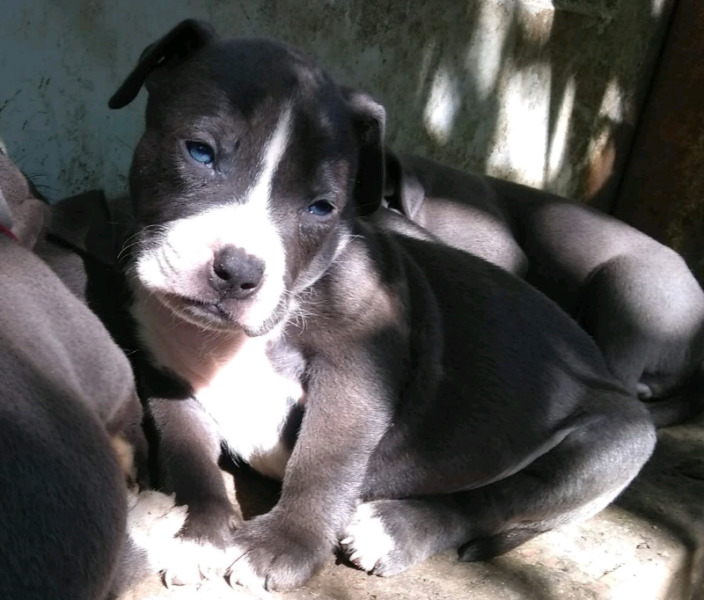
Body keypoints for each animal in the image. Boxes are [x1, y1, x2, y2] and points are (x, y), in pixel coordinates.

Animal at [107, 18, 656, 592]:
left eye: (321, 207)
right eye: (200, 152)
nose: (238, 271)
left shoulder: (356, 372)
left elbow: (324, 461)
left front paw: (282, 545)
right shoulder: (165, 373)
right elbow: (187, 455)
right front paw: (196, 530)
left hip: (603, 449)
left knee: (492, 501)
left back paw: (394, 529)